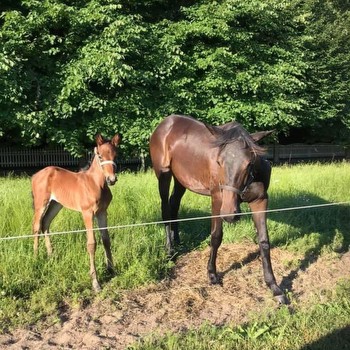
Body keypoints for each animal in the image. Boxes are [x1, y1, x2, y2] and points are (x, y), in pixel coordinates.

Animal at [31, 133, 121, 292]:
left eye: (115, 155)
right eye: (100, 156)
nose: (111, 179)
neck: (96, 183)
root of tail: (35, 175)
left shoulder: (102, 212)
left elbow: (106, 240)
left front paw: (111, 270)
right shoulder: (87, 213)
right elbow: (91, 243)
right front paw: (95, 282)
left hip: (56, 204)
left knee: (45, 223)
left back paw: (51, 255)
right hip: (41, 203)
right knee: (36, 226)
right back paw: (36, 257)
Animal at [149, 114, 288, 304]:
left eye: (249, 163)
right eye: (219, 162)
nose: (230, 214)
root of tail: (165, 124)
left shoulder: (260, 201)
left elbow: (264, 242)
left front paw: (274, 287)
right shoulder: (217, 199)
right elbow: (216, 237)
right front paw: (212, 275)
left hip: (181, 179)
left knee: (174, 203)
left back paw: (177, 240)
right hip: (163, 174)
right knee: (165, 209)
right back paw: (170, 251)